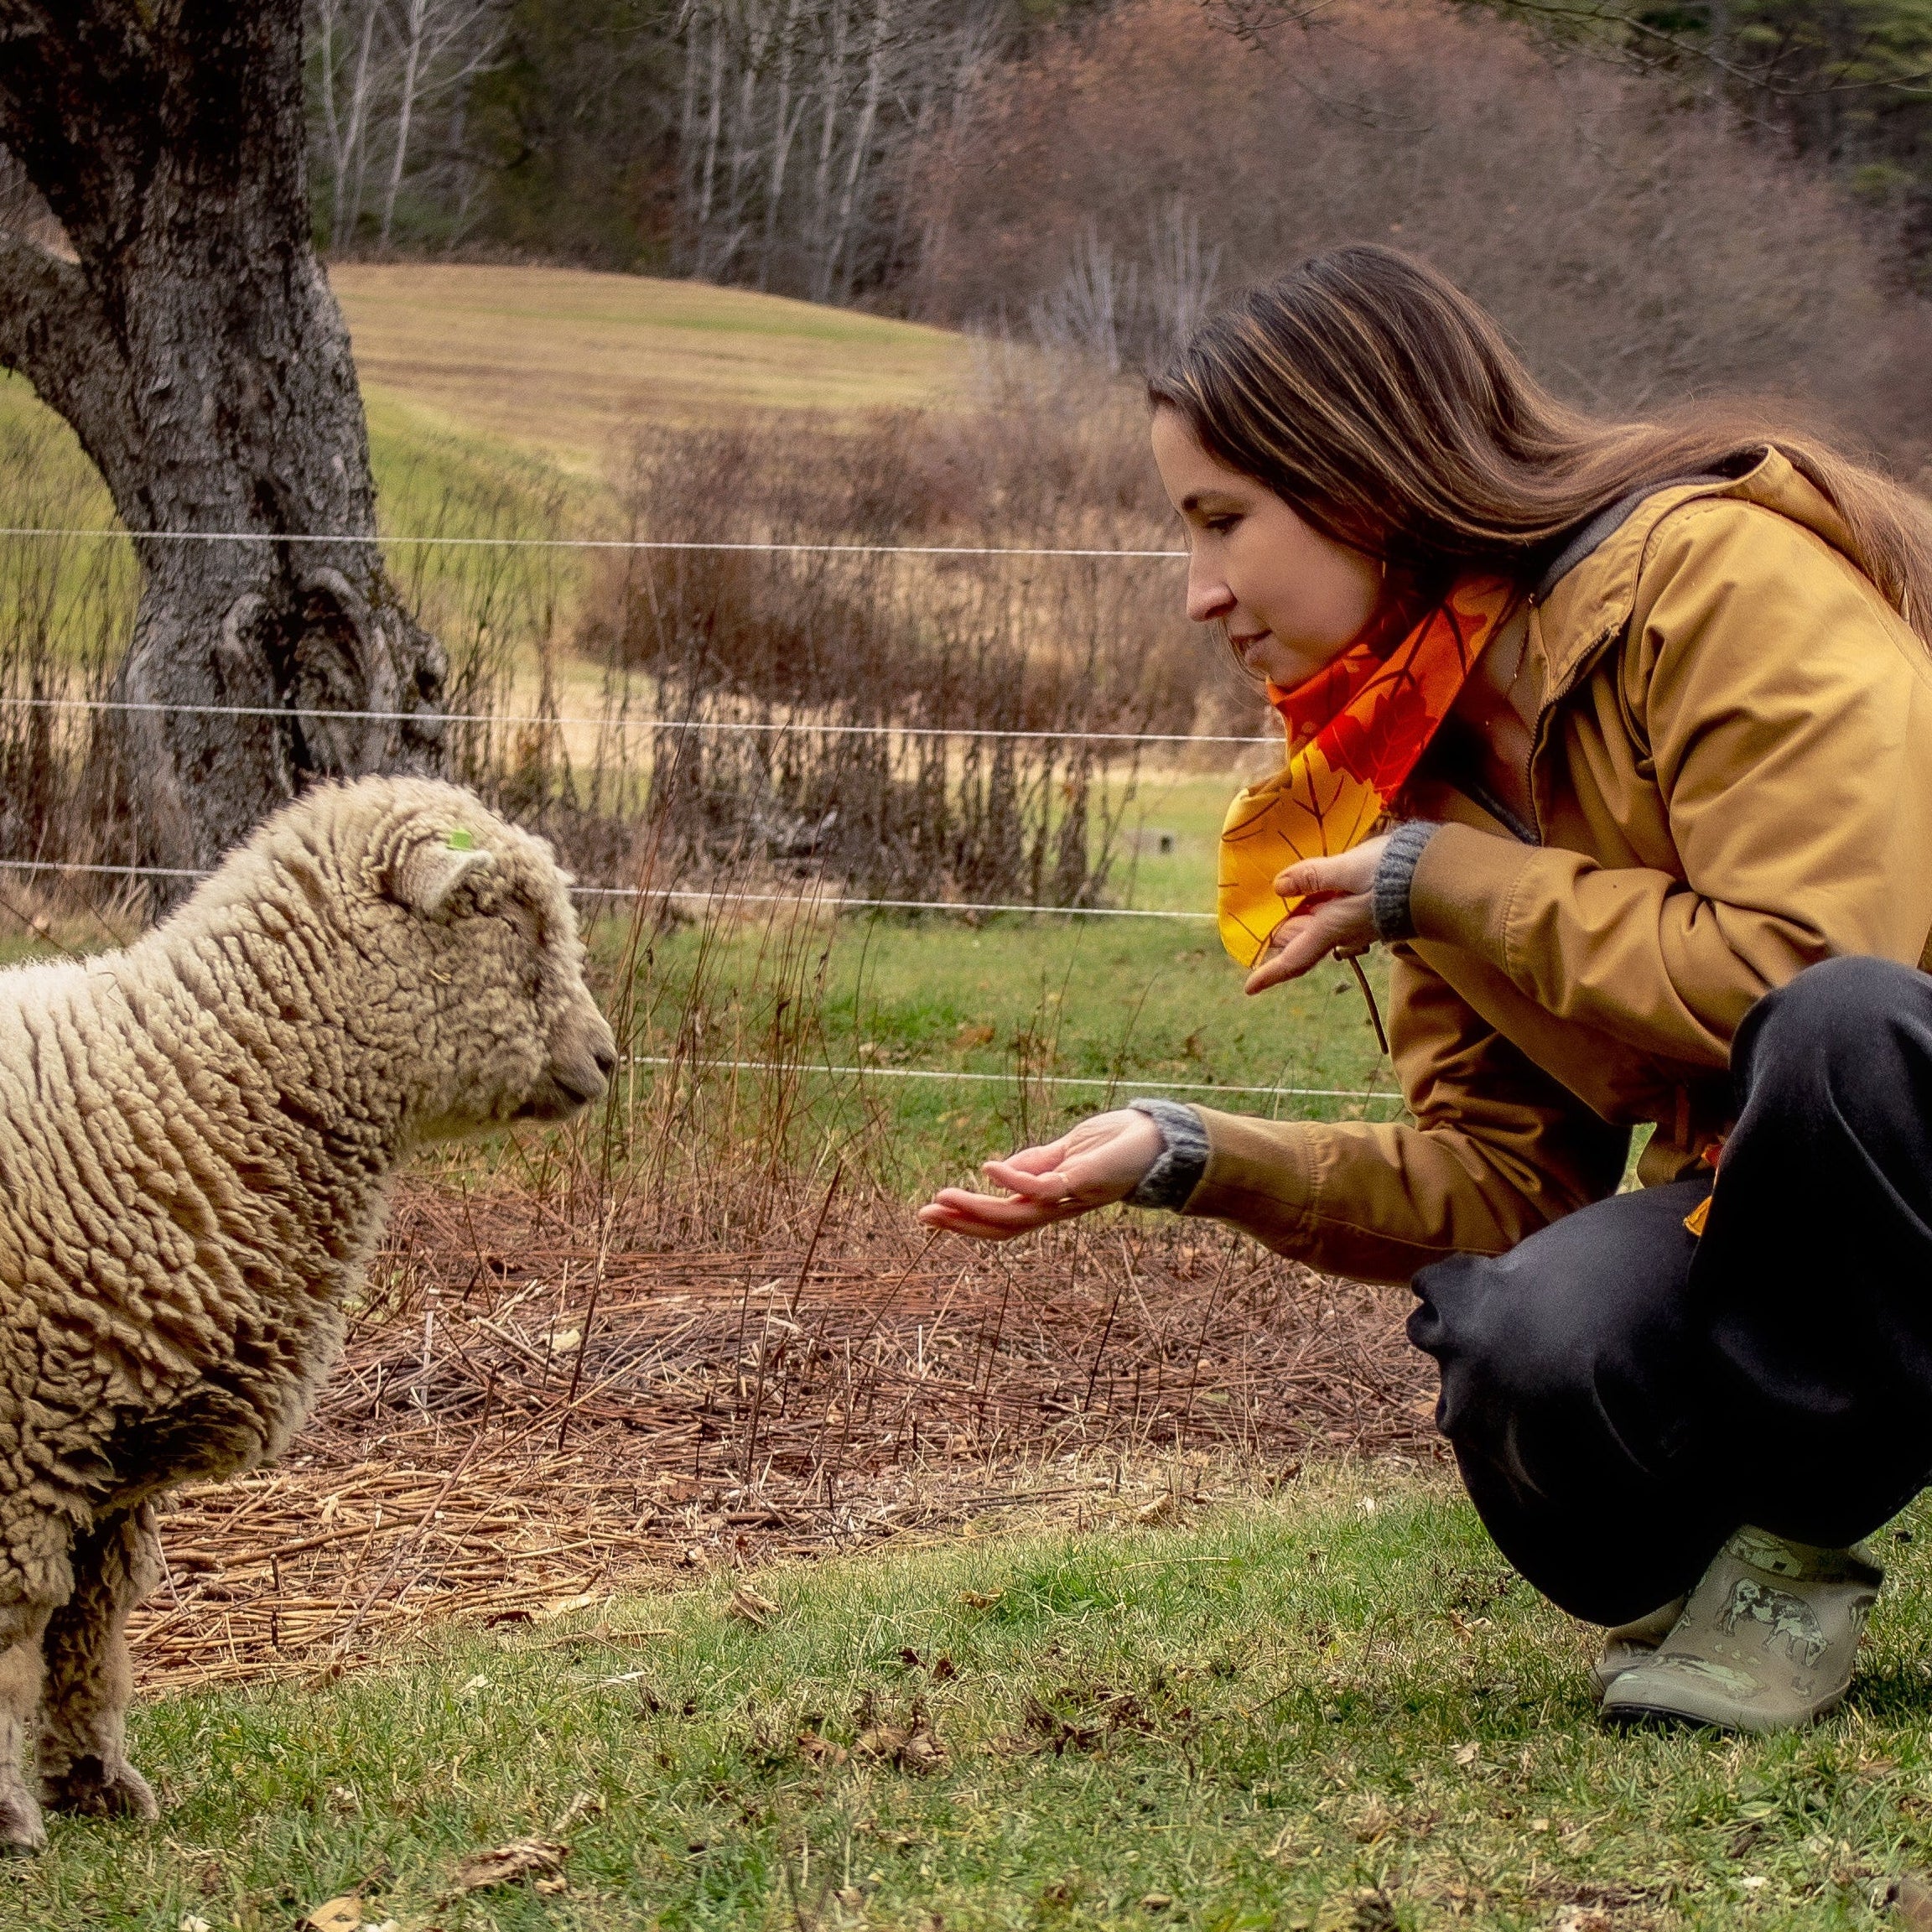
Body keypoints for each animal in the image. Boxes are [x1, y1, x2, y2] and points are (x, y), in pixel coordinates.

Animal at [0, 774, 616, 1852]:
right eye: (505, 917)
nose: (609, 1057)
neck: (175, 1083)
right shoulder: (19, 1440)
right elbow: (16, 1630)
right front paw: (9, 1817)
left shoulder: (105, 1451)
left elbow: (91, 1620)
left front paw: (98, 1786)